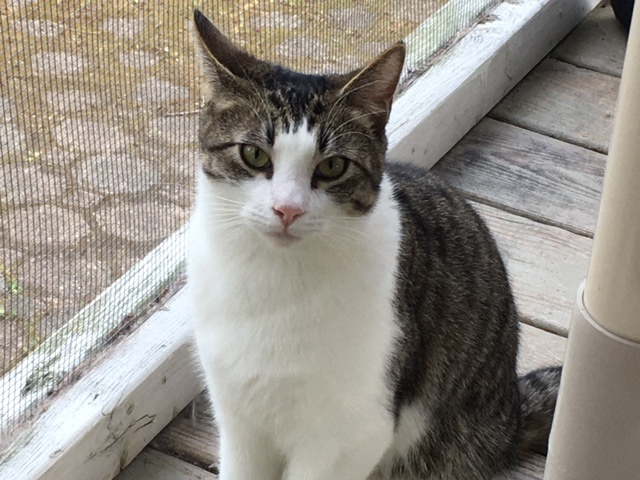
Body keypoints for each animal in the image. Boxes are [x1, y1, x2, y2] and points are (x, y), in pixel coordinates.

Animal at [185, 8, 560, 480]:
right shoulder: (239, 421)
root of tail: (510, 414)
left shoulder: (351, 433)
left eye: (333, 166)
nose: (287, 209)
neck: (272, 278)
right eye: (253, 155)